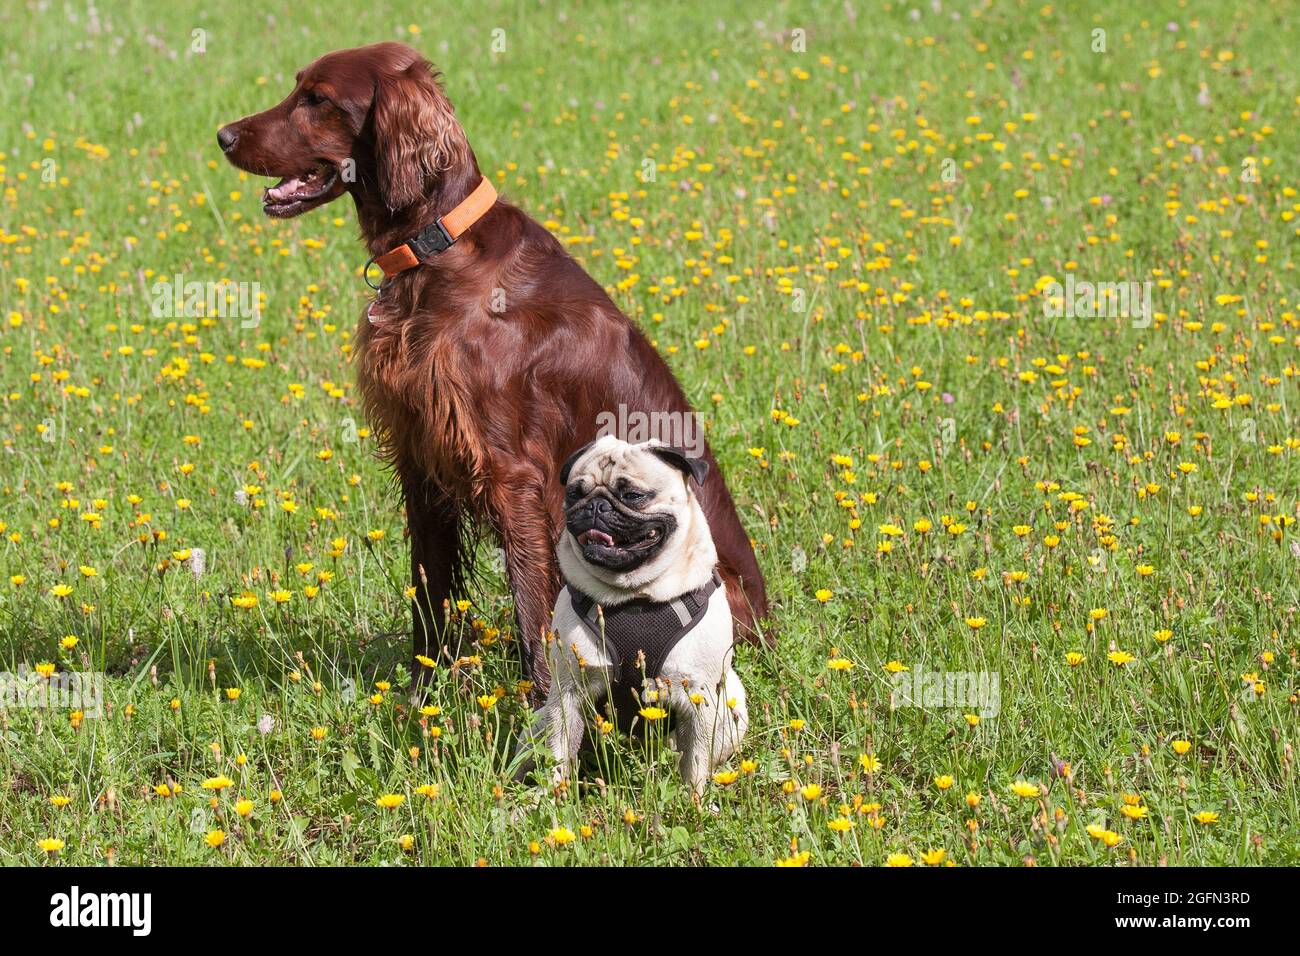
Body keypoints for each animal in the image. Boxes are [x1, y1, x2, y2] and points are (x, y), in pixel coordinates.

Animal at [218, 41, 764, 697]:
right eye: (298, 88)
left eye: (317, 99)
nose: (222, 135)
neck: (438, 247)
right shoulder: (421, 454)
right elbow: (429, 588)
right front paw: (420, 694)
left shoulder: (513, 473)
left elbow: (532, 604)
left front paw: (535, 706)